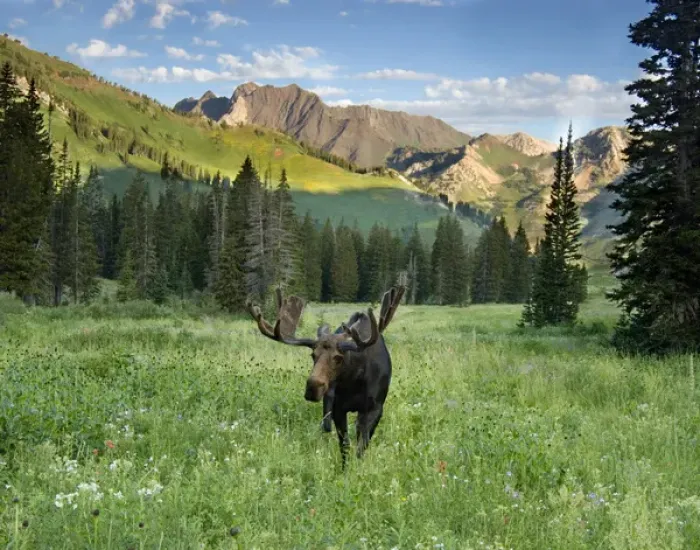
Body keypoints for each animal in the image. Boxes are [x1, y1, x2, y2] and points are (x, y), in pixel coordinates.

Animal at [245, 286, 405, 468]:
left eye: (338, 357)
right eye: (313, 355)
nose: (312, 387)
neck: (355, 380)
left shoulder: (375, 408)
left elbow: (361, 446)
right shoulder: (337, 408)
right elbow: (345, 446)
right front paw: (345, 469)